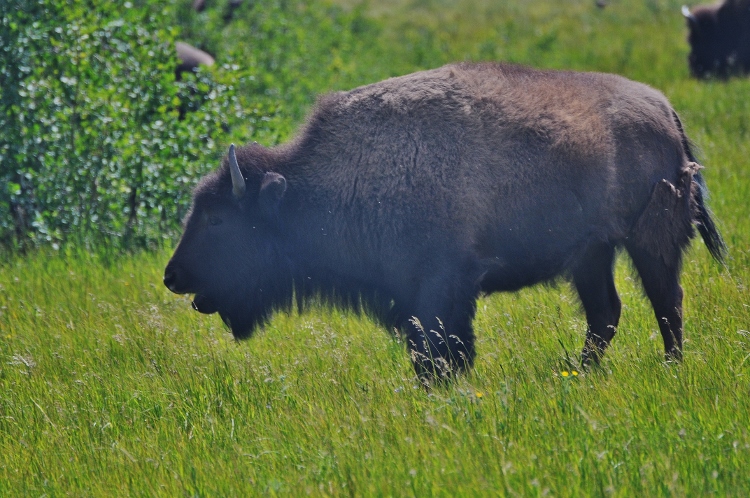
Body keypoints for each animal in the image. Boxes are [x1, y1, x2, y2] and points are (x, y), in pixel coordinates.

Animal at [164, 60, 728, 384]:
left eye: (217, 219)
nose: (173, 276)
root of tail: (664, 108)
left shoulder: (442, 283)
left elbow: (440, 349)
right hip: (591, 254)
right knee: (606, 313)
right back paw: (576, 372)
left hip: (649, 241)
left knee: (666, 303)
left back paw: (669, 369)